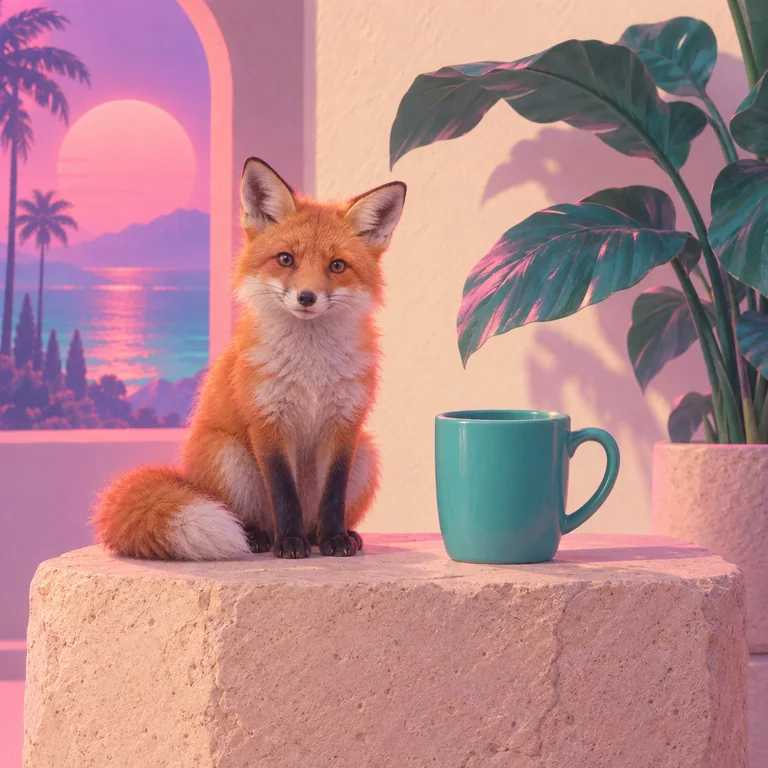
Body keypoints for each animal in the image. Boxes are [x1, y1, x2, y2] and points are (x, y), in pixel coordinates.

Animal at [91, 157, 406, 560]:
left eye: (337, 266)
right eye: (286, 259)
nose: (307, 297)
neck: (310, 370)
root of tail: (186, 476)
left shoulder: (345, 425)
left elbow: (333, 494)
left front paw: (335, 539)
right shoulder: (267, 420)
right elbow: (283, 493)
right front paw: (290, 544)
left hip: (366, 453)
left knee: (316, 519)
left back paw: (329, 535)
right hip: (228, 456)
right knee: (249, 517)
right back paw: (262, 537)